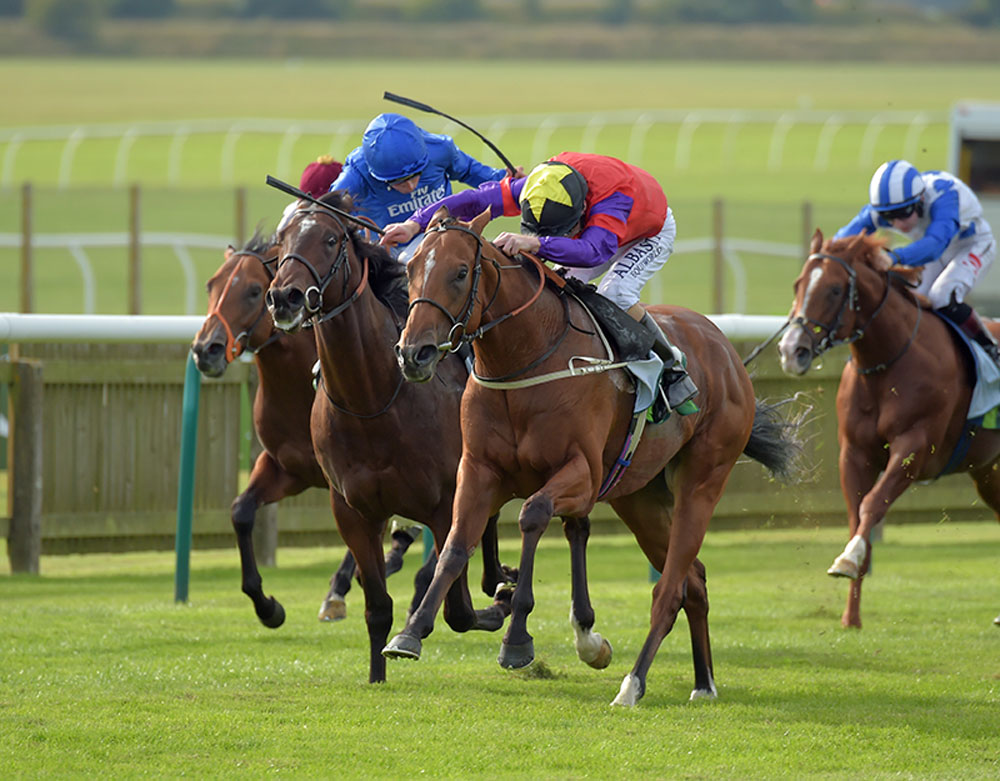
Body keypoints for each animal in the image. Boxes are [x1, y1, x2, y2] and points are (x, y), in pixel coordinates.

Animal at [264, 190, 512, 684]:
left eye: (331, 238)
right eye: (282, 239)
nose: (284, 296)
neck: (371, 400)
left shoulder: (443, 505)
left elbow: (457, 607)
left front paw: (495, 605)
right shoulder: (353, 513)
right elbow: (378, 606)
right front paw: (377, 676)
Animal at [382, 209, 804, 708]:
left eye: (461, 272)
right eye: (410, 269)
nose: (414, 353)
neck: (525, 360)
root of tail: (725, 350)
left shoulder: (580, 473)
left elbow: (532, 514)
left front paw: (517, 640)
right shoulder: (479, 470)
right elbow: (454, 546)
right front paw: (410, 633)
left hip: (703, 480)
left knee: (669, 589)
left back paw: (633, 684)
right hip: (639, 498)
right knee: (694, 581)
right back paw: (703, 682)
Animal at [780, 230, 1000, 628]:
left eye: (835, 289)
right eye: (798, 283)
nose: (792, 351)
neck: (888, 364)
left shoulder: (913, 447)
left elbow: (872, 505)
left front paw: (846, 560)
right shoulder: (855, 454)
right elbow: (857, 518)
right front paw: (851, 617)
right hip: (989, 470)